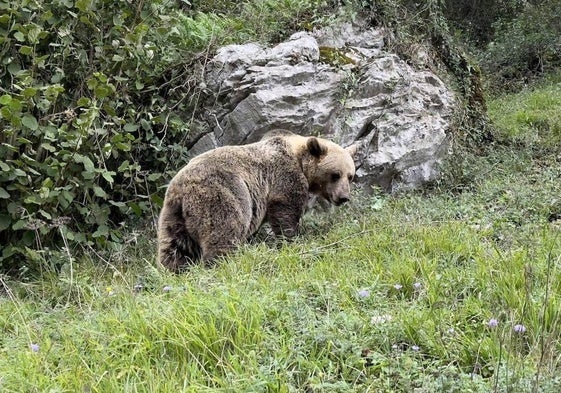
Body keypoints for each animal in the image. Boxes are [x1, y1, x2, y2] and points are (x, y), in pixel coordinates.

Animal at [156, 130, 354, 272]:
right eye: (335, 175)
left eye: (350, 176)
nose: (343, 197)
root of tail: (181, 190)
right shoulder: (284, 177)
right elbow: (286, 211)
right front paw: (292, 239)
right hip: (221, 193)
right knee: (224, 230)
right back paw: (222, 264)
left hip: (173, 215)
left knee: (175, 247)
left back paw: (174, 271)